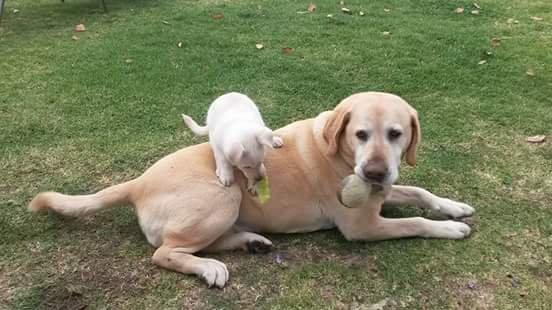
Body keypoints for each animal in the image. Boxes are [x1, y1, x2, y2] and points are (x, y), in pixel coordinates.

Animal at [27, 92, 474, 288]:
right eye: (361, 134)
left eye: (396, 134)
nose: (376, 172)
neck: (341, 152)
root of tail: (138, 182)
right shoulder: (362, 226)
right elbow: (415, 220)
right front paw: (450, 228)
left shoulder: (384, 192)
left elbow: (419, 192)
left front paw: (453, 206)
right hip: (222, 196)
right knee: (164, 253)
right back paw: (209, 267)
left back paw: (250, 243)